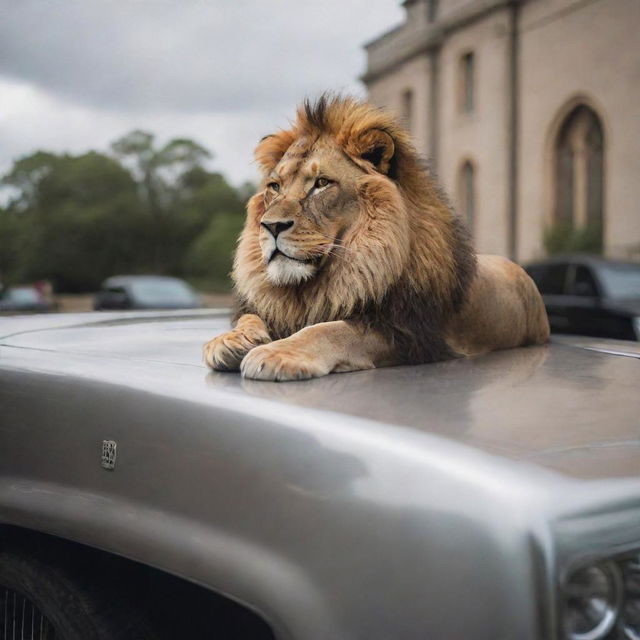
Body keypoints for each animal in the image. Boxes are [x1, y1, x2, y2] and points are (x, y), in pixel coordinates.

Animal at [205, 92, 552, 378]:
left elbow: (329, 330)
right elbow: (251, 317)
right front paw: (230, 340)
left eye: (321, 183)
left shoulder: (410, 333)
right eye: (275, 187)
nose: (271, 226)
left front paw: (278, 353)